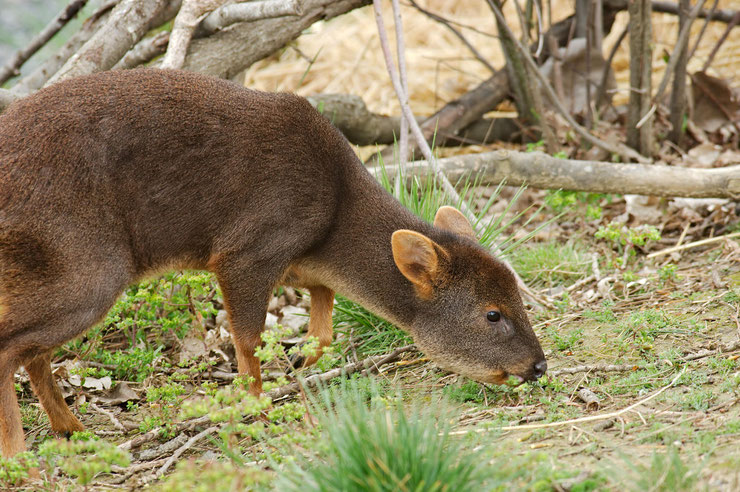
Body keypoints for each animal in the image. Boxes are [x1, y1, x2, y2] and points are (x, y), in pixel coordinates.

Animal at [0, 69, 544, 458]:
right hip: (88, 267)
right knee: (12, 346)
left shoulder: (298, 264)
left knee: (33, 352)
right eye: (492, 314)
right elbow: (248, 338)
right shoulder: (247, 250)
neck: (332, 219)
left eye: (519, 300)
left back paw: (75, 431)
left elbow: (322, 322)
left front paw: (299, 359)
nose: (538, 366)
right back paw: (22, 456)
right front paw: (258, 411)